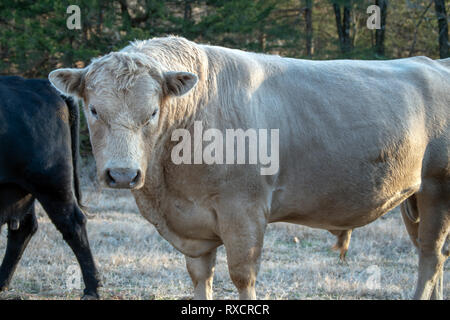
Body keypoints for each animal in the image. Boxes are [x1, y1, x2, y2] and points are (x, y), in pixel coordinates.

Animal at [0, 76, 100, 298]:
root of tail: (36, 83)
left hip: (51, 185)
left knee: (73, 225)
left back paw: (92, 289)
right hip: (23, 190)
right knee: (24, 229)